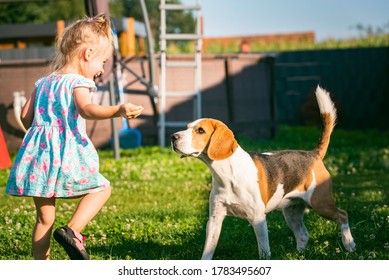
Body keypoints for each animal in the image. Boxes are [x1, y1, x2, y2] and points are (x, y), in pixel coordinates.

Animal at [170, 86, 354, 260]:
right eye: (187, 127)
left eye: (200, 130)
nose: (173, 137)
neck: (227, 175)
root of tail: (312, 154)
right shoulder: (214, 220)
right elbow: (208, 251)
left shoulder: (258, 219)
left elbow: (264, 251)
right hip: (292, 211)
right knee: (303, 235)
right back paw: (299, 255)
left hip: (321, 203)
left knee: (343, 215)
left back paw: (349, 244)